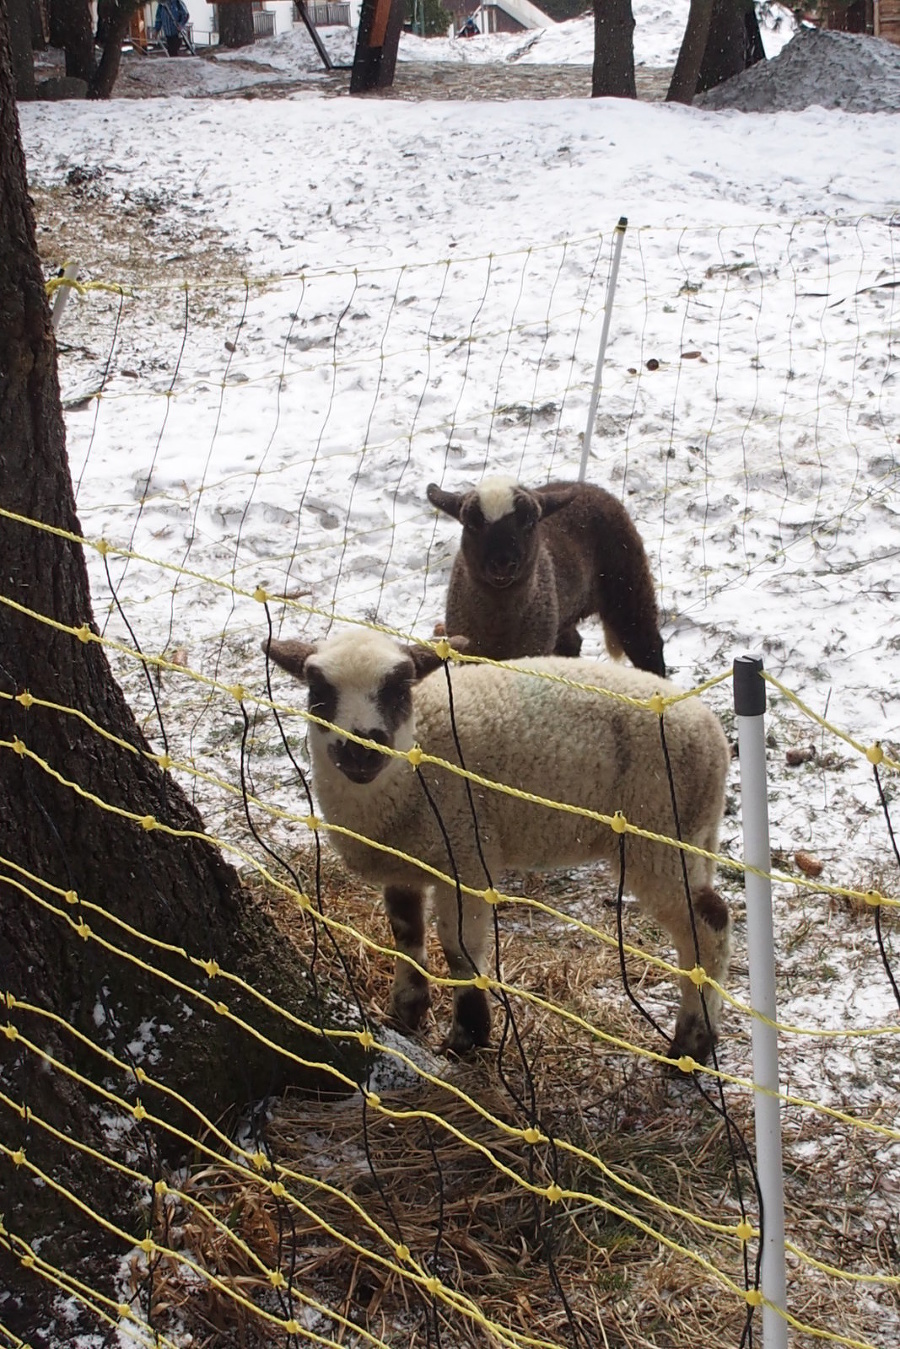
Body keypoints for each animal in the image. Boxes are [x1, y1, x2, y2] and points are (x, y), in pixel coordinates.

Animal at [265, 628, 734, 1063]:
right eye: (319, 692)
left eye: (399, 689)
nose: (361, 750)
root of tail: (712, 733)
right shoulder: (405, 862)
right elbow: (406, 935)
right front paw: (405, 1013)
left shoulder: (465, 852)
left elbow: (459, 949)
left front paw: (467, 1037)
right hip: (692, 834)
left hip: (657, 832)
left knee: (709, 924)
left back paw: (690, 1044)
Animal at [426, 474, 666, 674]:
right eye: (471, 524)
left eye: (530, 522)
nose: (503, 563)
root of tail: (588, 486)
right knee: (572, 644)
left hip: (629, 585)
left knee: (648, 646)